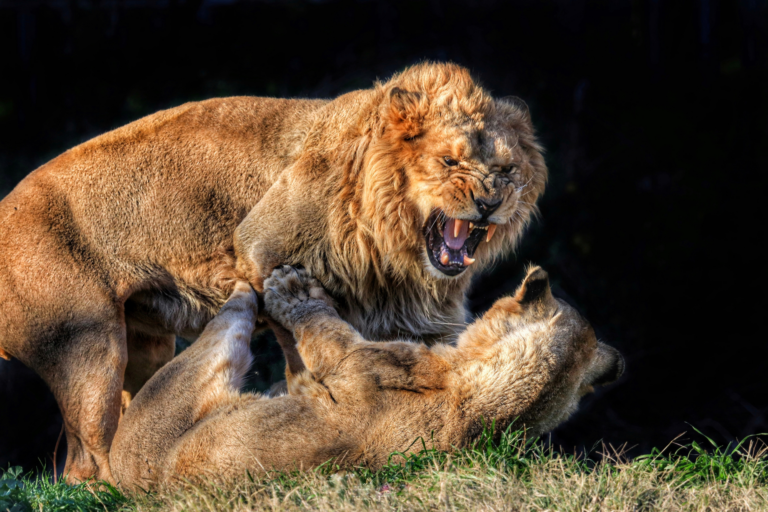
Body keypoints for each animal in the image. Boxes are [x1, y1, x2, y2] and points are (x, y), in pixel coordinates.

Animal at [0, 62, 544, 482]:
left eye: (508, 170)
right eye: (449, 160)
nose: (490, 202)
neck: (396, 249)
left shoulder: (426, 318)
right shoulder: (264, 248)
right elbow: (301, 346)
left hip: (146, 345)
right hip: (88, 350)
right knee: (86, 462)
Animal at [111, 266, 620, 490]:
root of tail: (131, 484)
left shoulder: (355, 359)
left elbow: (320, 326)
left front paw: (291, 289)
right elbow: (297, 369)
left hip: (188, 374)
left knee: (231, 315)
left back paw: (238, 283)